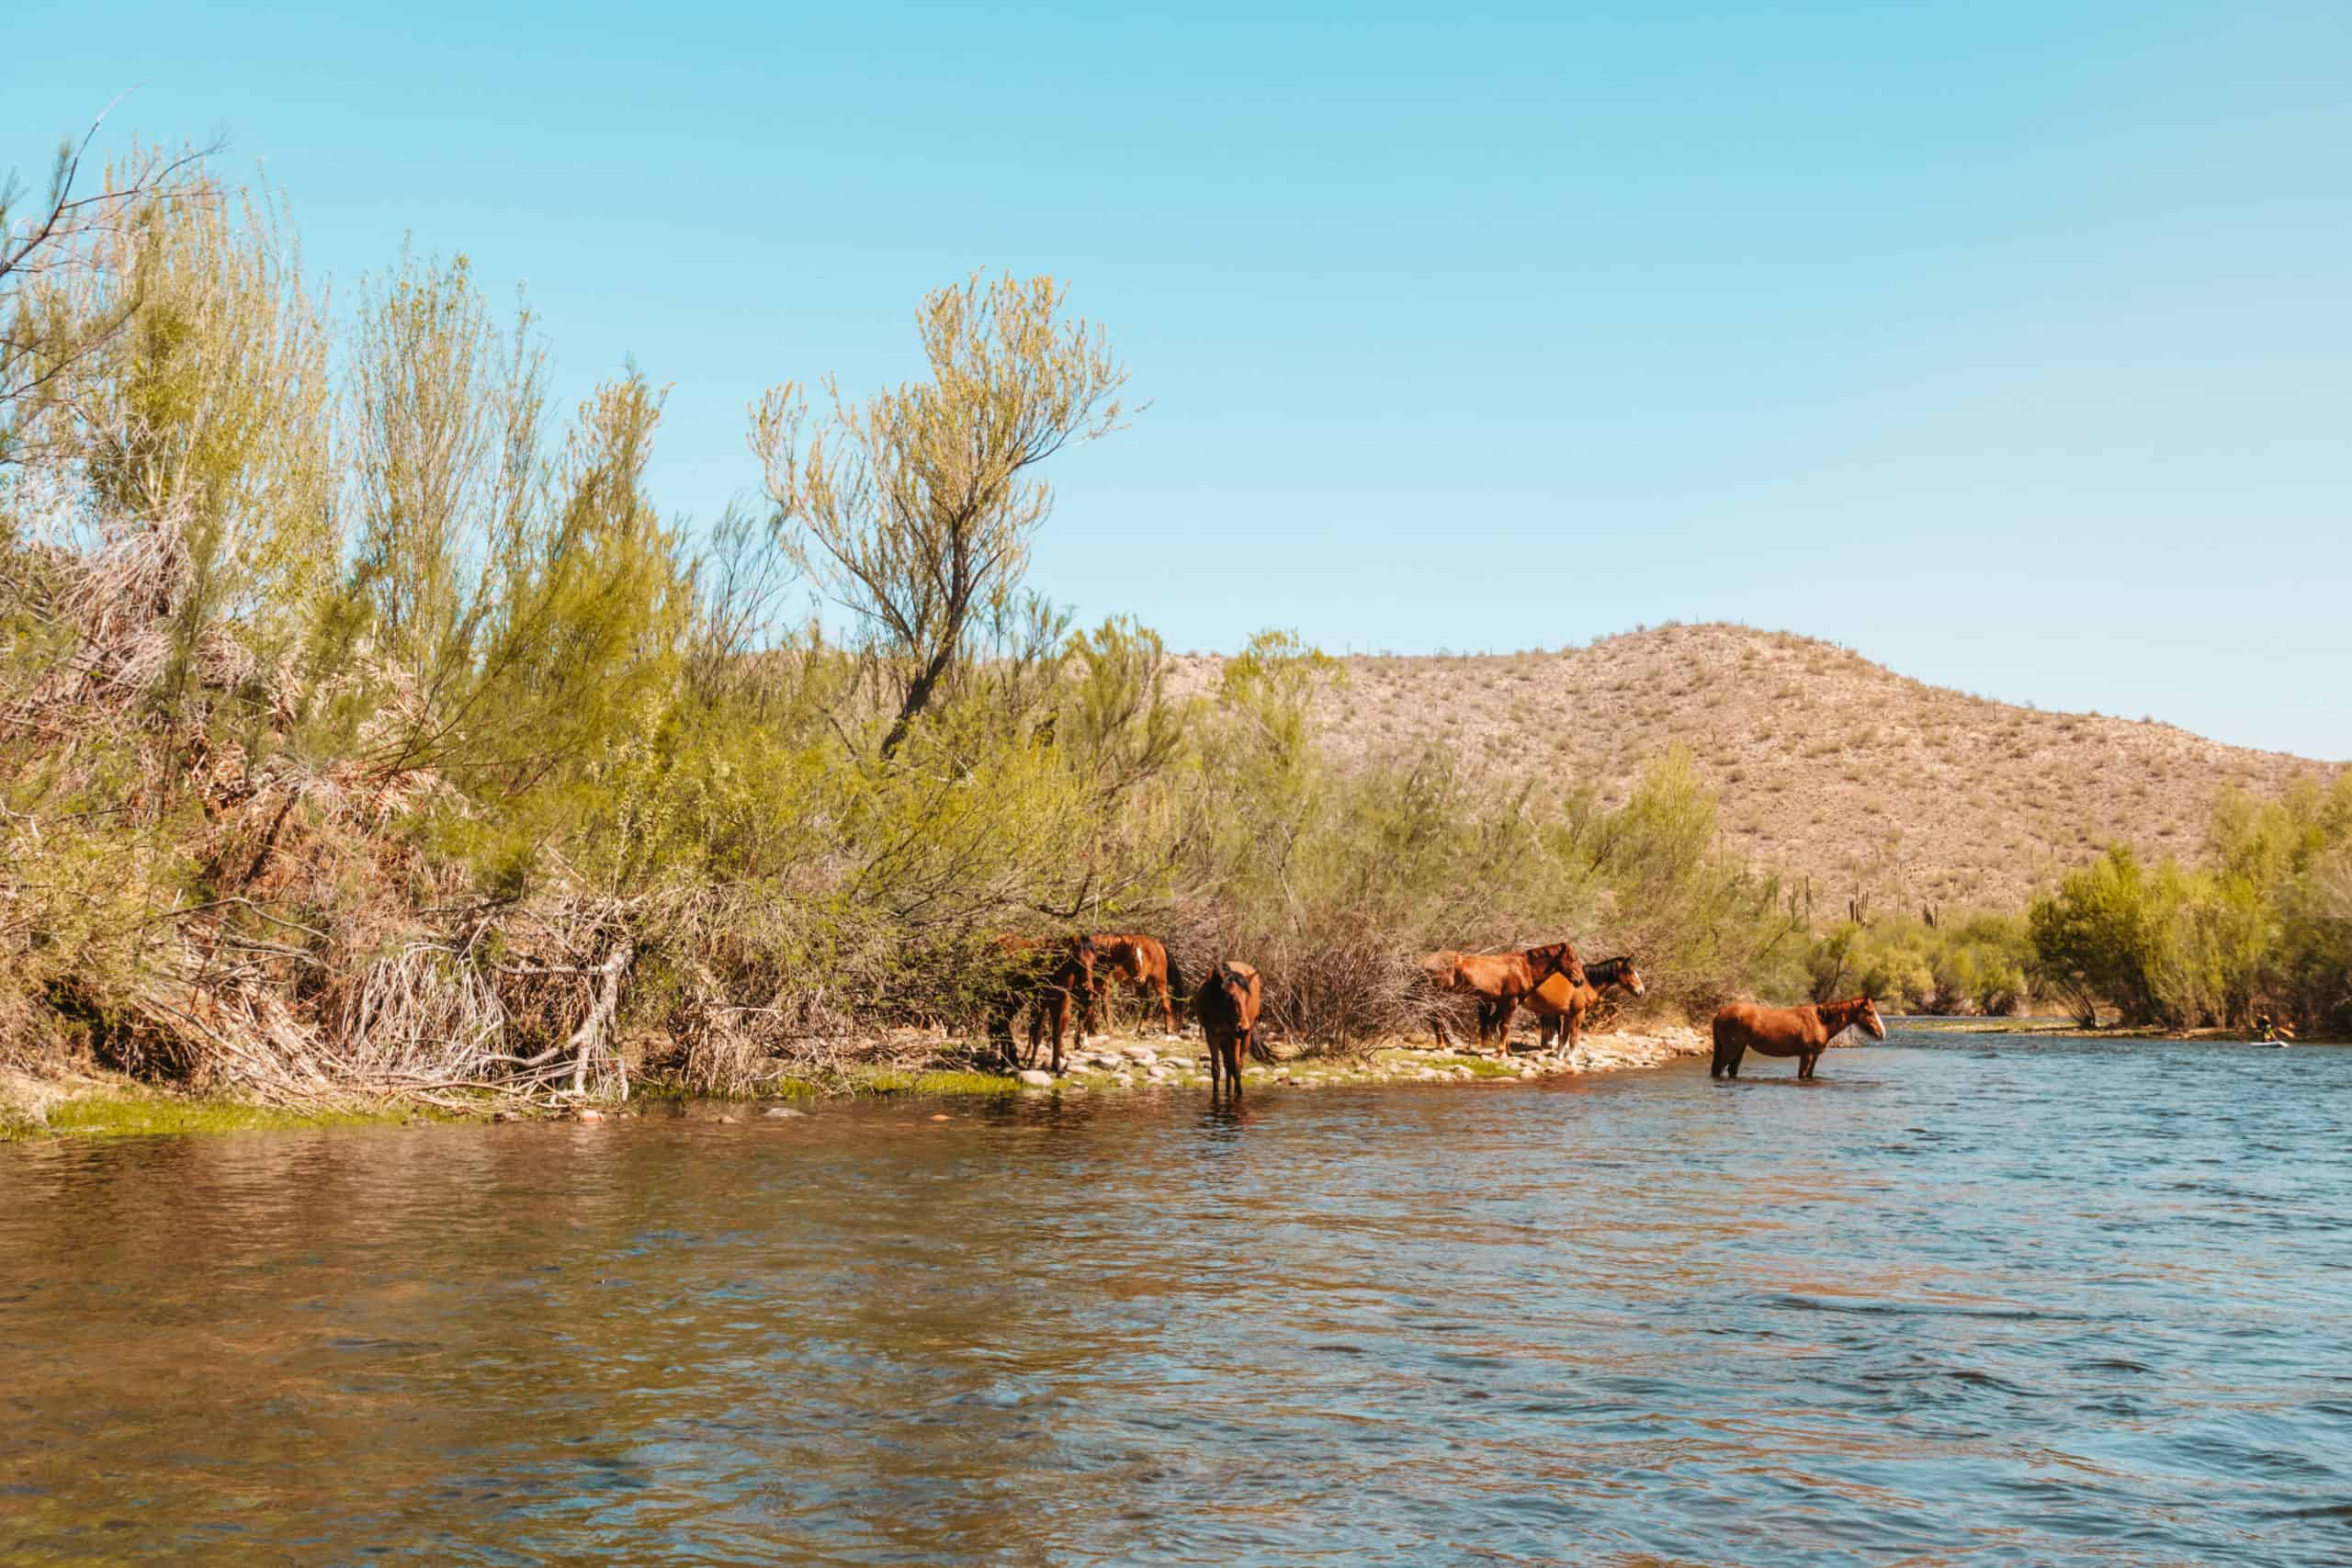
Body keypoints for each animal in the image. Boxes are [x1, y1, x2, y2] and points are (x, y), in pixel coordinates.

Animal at [992, 931, 1101, 1081]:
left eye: (1094, 960)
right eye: (1077, 959)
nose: (1087, 991)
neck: (1056, 969)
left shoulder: (1059, 1003)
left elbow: (1056, 1035)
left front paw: (1058, 1068)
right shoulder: (1040, 1003)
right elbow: (1037, 1034)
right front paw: (1031, 1064)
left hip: (1014, 1001)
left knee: (1003, 1024)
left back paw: (1009, 1061)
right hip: (1004, 998)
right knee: (1001, 1025)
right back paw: (1007, 1062)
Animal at [1185, 964, 1261, 1100]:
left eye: (1248, 996)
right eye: (1231, 997)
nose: (1244, 1028)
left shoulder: (1235, 1036)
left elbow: (1236, 1067)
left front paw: (1239, 1094)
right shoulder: (1212, 1035)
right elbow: (1216, 1069)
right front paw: (1216, 1096)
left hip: (1243, 1037)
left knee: (1237, 1064)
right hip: (1224, 1040)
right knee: (1228, 1064)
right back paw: (1227, 1092)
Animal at [1420, 940, 1589, 1048]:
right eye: (1572, 959)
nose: (1580, 981)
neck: (1523, 967)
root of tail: (1424, 962)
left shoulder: (1503, 1002)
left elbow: (1495, 1024)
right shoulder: (1510, 1001)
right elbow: (1504, 1026)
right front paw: (1500, 1051)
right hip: (1437, 995)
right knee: (1436, 1017)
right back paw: (1442, 1045)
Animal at [1523, 959, 1656, 1053]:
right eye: (1630, 971)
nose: (1641, 991)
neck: (1586, 983)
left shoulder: (1568, 1015)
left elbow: (1564, 1037)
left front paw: (1559, 1057)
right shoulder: (1578, 1014)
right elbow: (1573, 1038)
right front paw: (1570, 1060)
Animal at [1702, 991, 1882, 1081]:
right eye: (1870, 1012)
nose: (1881, 1033)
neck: (1821, 1021)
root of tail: (1719, 1014)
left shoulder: (1814, 1056)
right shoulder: (1806, 1055)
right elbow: (1802, 1075)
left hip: (1739, 1049)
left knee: (1731, 1070)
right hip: (1731, 1048)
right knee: (1718, 1069)